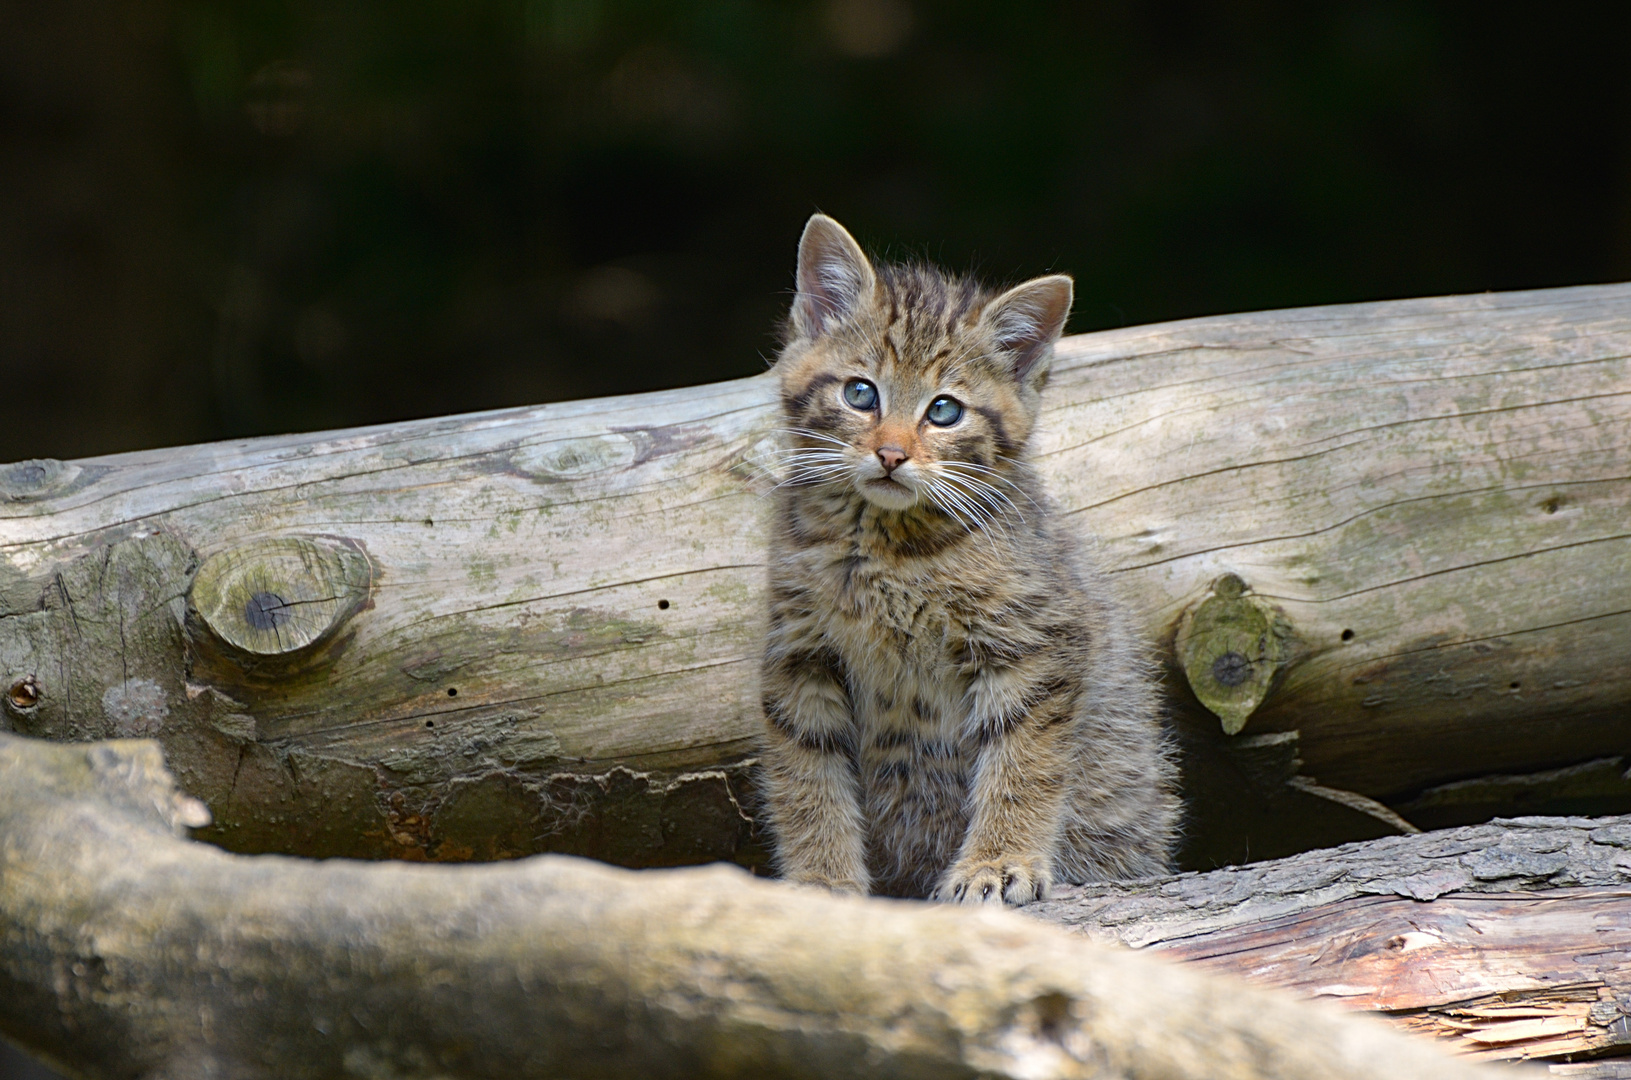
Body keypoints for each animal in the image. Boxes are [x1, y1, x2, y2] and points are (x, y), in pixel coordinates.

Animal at [756, 213, 1180, 907]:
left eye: (944, 410)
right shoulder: (798, 653)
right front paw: (820, 880)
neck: (891, 546)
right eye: (860, 394)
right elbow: (805, 776)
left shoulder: (1035, 644)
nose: (891, 454)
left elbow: (1024, 763)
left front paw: (998, 862)